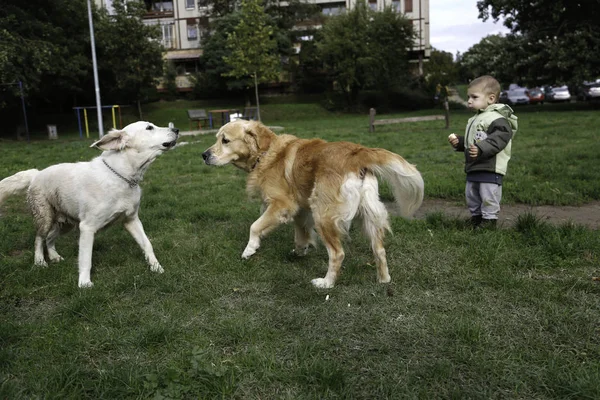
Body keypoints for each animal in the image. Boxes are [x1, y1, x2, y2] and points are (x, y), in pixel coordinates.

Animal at [0, 122, 178, 288]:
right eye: (149, 128)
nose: (176, 130)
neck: (121, 176)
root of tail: (36, 174)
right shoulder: (87, 227)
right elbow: (86, 258)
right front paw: (84, 283)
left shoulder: (131, 220)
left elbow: (147, 244)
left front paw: (156, 268)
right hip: (45, 218)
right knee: (39, 239)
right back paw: (40, 262)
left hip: (65, 224)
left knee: (49, 238)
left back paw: (55, 257)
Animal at [204, 120, 424, 290]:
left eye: (225, 140)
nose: (203, 155)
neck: (265, 152)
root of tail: (356, 152)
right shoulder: (301, 210)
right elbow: (300, 234)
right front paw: (300, 250)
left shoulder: (282, 205)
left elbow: (255, 226)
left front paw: (250, 249)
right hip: (368, 215)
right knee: (379, 250)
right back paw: (383, 280)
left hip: (323, 215)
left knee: (337, 254)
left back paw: (326, 283)